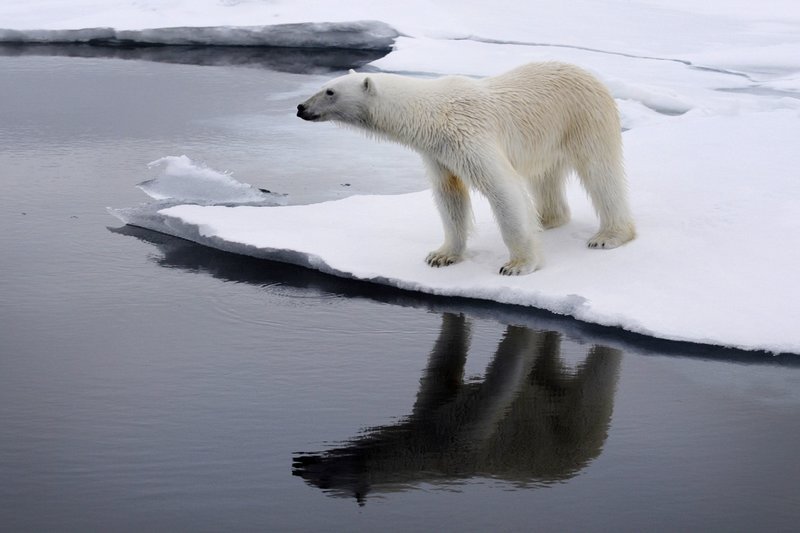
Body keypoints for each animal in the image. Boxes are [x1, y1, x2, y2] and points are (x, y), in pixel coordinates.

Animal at [296, 62, 636, 274]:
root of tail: (591, 75)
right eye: (324, 85)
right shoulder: (438, 152)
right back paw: (548, 219)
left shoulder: (469, 136)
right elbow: (450, 194)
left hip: (584, 117)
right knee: (544, 176)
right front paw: (442, 255)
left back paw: (609, 235)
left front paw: (517, 265)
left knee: (600, 172)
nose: (301, 107)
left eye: (330, 92)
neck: (431, 115)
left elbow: (502, 188)